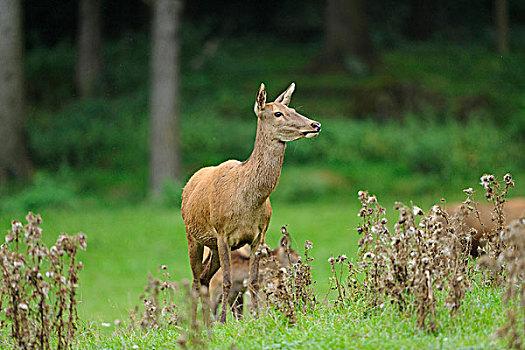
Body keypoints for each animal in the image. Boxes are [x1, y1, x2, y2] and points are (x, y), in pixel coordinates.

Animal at [180, 83, 320, 324]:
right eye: (278, 113)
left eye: (293, 109)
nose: (315, 124)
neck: (247, 202)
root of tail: (188, 185)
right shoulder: (222, 233)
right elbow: (227, 281)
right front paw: (224, 320)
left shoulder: (259, 235)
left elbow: (254, 282)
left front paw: (255, 319)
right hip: (193, 236)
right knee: (197, 281)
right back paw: (197, 323)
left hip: (212, 247)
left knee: (205, 278)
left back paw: (207, 322)